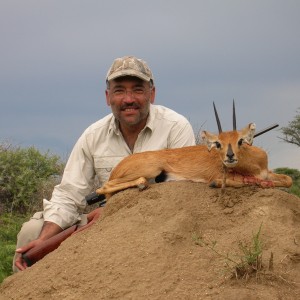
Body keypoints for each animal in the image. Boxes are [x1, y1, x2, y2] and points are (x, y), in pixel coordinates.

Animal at [95, 103, 292, 199]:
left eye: (240, 140)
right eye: (218, 143)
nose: (229, 157)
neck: (254, 165)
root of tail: (118, 167)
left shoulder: (268, 173)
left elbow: (288, 180)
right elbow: (240, 182)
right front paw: (216, 184)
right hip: (151, 169)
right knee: (103, 187)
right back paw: (141, 184)